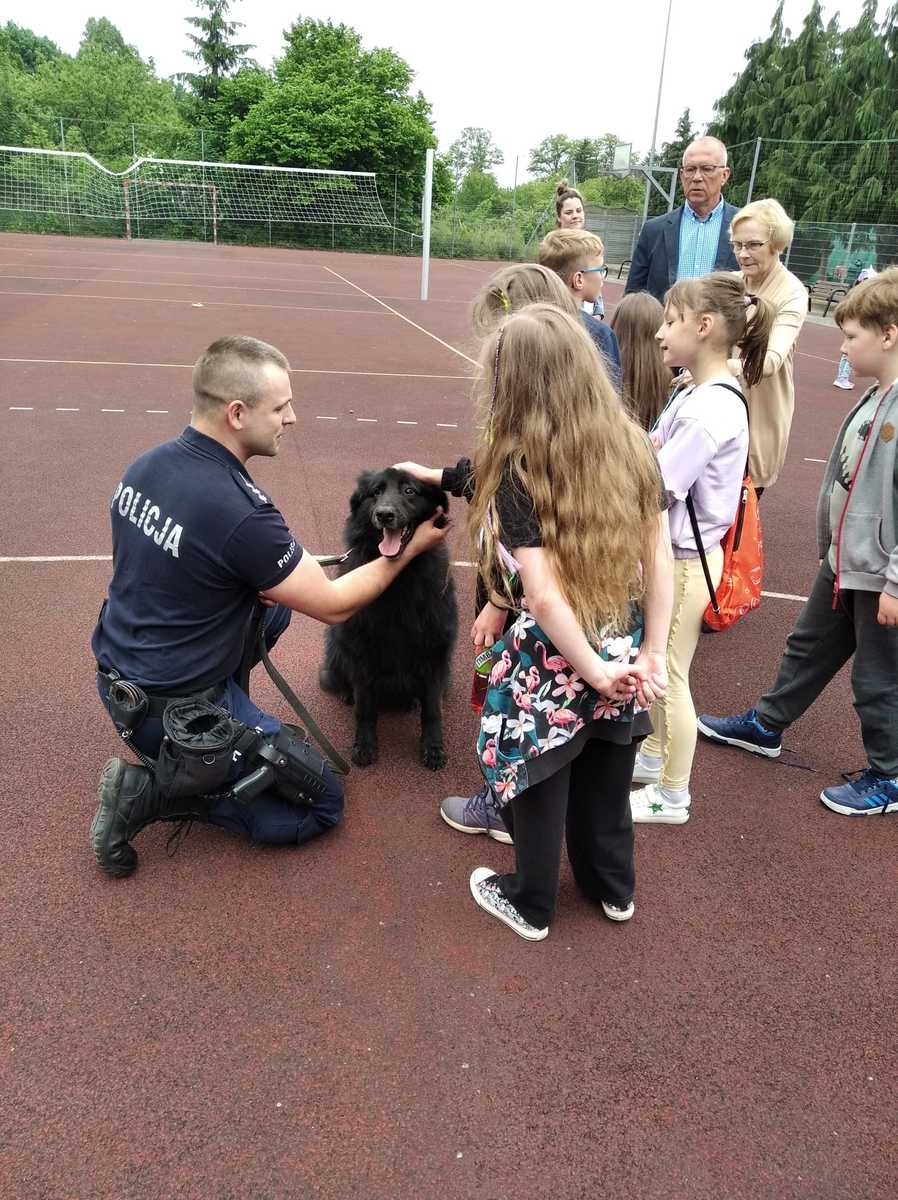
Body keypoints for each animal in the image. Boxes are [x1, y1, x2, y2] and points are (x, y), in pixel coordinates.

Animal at [319, 468, 458, 769]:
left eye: (409, 490)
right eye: (376, 492)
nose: (384, 514)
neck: (399, 577)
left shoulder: (434, 651)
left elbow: (432, 710)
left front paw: (433, 748)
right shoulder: (362, 652)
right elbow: (365, 708)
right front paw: (364, 745)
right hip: (336, 650)